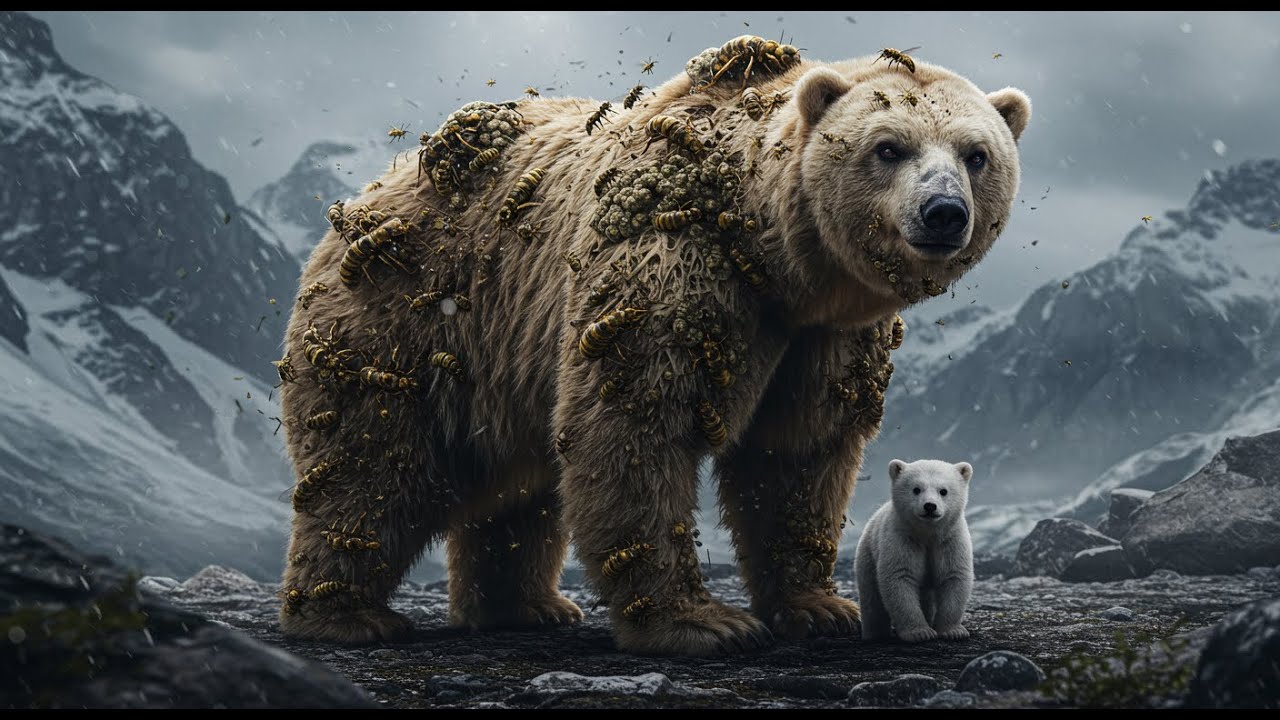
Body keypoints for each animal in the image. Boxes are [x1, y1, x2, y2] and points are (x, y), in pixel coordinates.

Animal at [855, 459, 975, 643]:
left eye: (943, 491)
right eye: (916, 489)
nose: (930, 506)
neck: (927, 534)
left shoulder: (950, 541)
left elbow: (954, 576)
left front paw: (953, 631)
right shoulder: (902, 540)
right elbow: (900, 578)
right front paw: (920, 633)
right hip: (868, 555)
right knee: (871, 599)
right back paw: (875, 634)